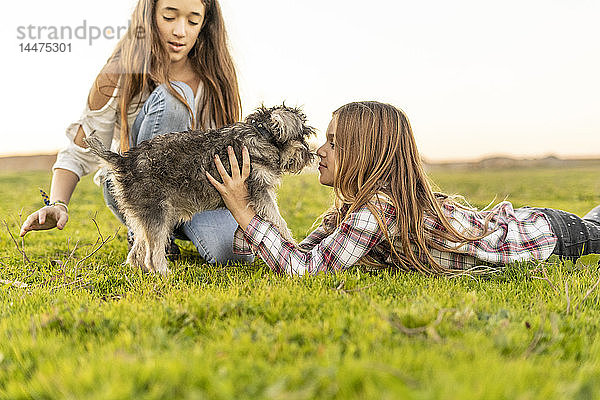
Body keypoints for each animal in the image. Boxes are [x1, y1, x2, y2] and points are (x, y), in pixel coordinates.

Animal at [87, 104, 318, 276]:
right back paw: (164, 274)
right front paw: (291, 242)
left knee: (138, 251)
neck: (262, 136)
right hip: (158, 214)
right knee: (152, 255)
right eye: (302, 136)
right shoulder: (260, 192)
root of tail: (124, 161)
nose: (311, 155)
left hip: (150, 217)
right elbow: (278, 220)